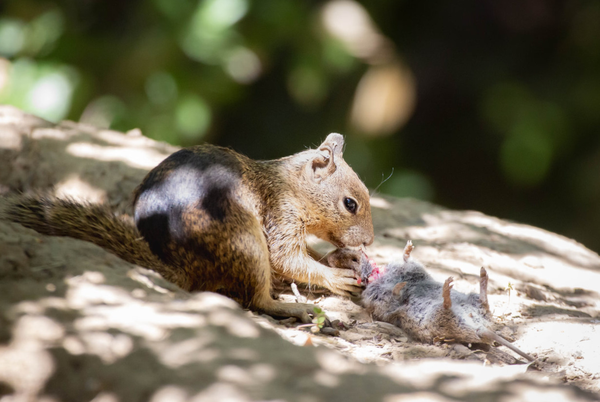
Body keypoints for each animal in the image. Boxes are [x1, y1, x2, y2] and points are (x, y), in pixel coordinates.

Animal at [4, 133, 372, 322]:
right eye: (350, 203)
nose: (369, 241)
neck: (290, 184)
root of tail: (184, 268)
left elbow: (304, 255)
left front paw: (344, 259)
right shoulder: (281, 213)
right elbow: (287, 259)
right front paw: (336, 276)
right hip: (246, 242)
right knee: (255, 300)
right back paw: (293, 307)